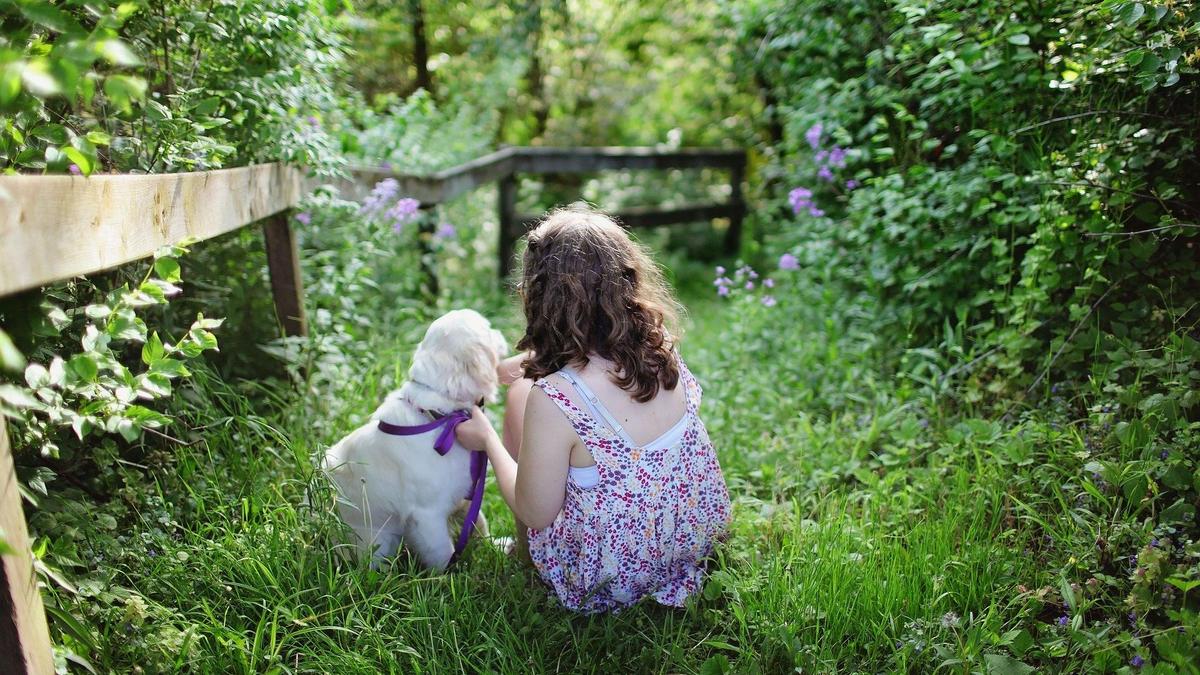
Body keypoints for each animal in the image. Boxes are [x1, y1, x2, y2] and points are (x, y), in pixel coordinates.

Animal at [324, 309, 506, 566]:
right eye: (488, 329)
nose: (501, 333)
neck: (440, 416)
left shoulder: (465, 493)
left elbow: (478, 522)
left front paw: (496, 546)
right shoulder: (427, 515)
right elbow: (443, 553)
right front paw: (452, 574)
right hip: (378, 543)